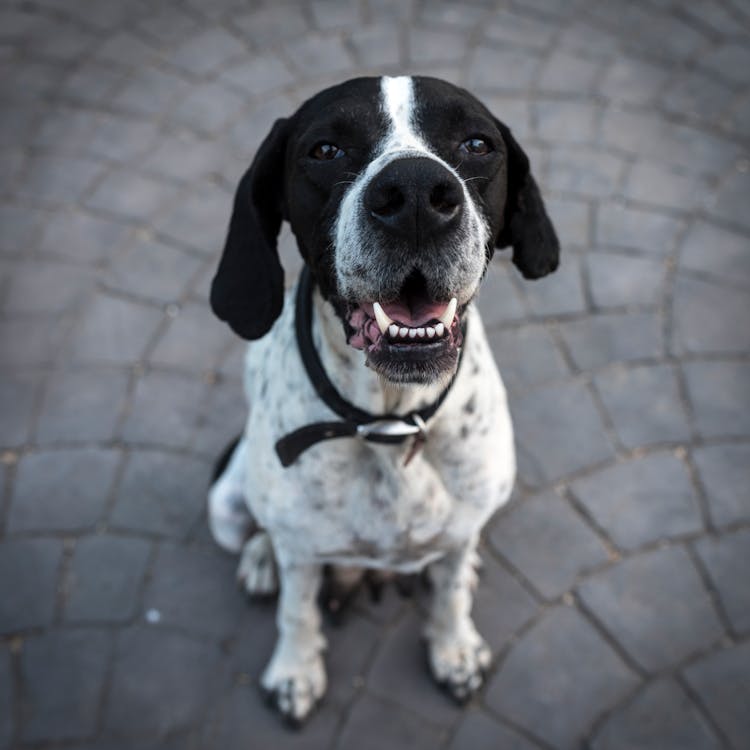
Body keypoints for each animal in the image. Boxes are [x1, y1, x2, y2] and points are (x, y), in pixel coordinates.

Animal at [206, 75, 560, 724]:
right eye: (325, 150)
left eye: (477, 143)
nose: (416, 193)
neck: (389, 420)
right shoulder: (300, 553)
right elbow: (296, 610)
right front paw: (294, 672)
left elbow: (449, 595)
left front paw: (454, 650)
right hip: (225, 500)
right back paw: (261, 557)